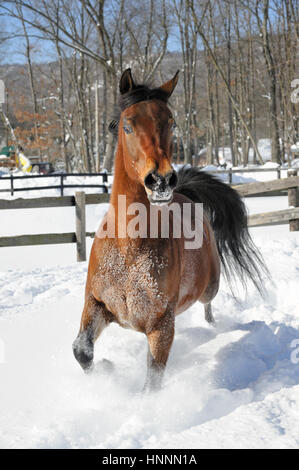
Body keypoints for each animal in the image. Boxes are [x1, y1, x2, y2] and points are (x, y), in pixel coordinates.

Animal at [74, 70, 268, 392]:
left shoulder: (161, 325)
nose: (162, 180)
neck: (129, 251)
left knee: (208, 304)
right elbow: (82, 351)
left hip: (209, 285)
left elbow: (152, 381)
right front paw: (107, 370)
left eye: (172, 122)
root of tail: (186, 194)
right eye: (127, 125)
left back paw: (212, 326)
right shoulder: (96, 304)